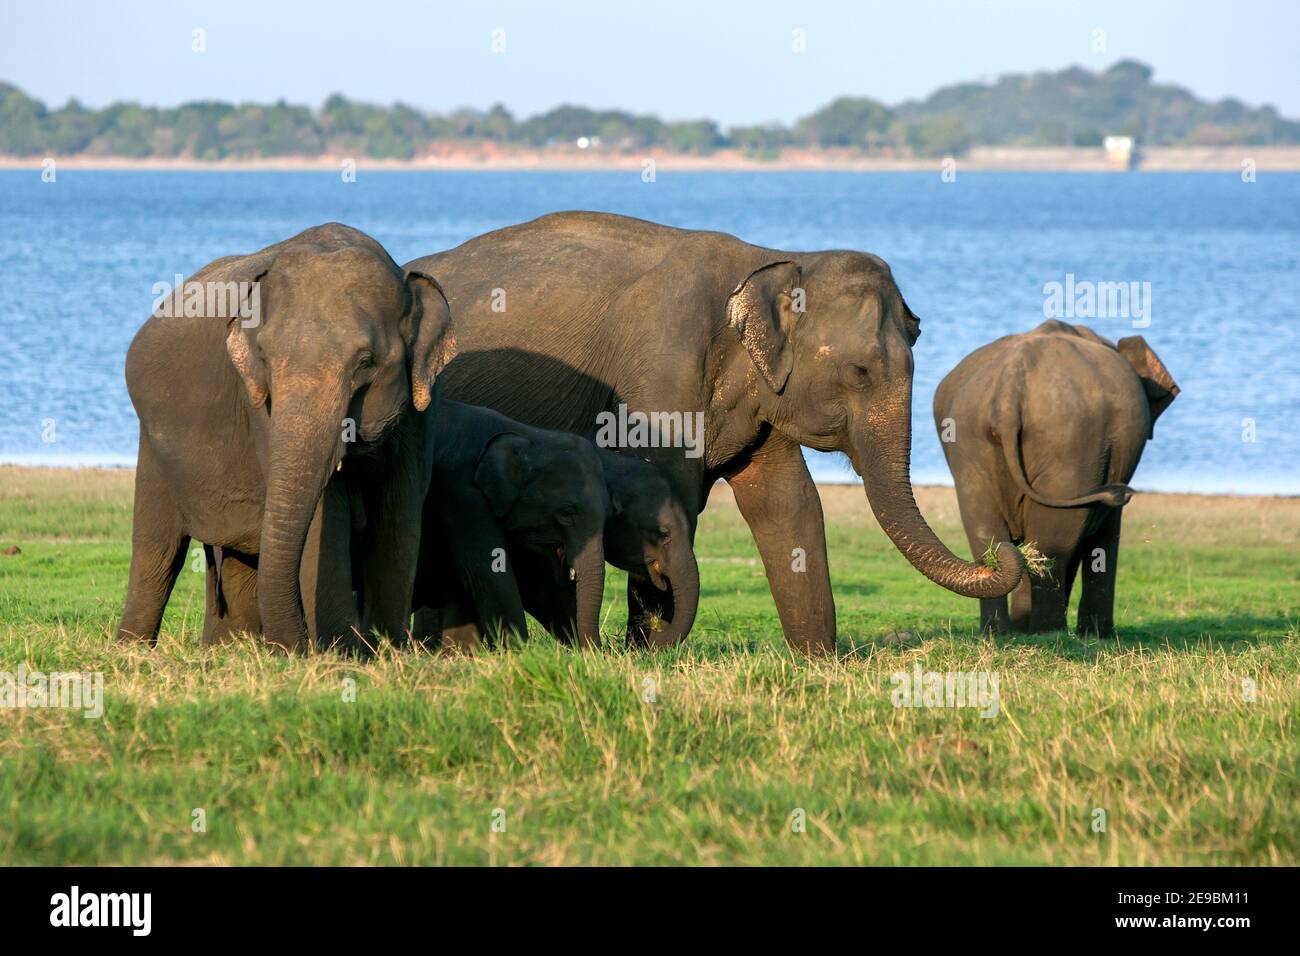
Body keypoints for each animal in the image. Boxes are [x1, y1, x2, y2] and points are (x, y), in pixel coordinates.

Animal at [116, 223, 460, 655]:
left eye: (365, 362)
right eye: (265, 357)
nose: (292, 647)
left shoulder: (421, 405)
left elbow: (400, 509)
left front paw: (390, 649)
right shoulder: (260, 404)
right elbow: (325, 516)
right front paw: (344, 652)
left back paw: (229, 648)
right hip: (152, 444)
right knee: (158, 552)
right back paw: (133, 649)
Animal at [413, 395, 611, 650]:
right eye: (567, 512)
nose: (595, 652)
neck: (527, 435)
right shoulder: (464, 494)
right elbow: (489, 574)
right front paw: (521, 653)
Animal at [930, 319, 1185, 634]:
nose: (1125, 492)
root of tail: (1007, 393)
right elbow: (1103, 536)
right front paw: (1099, 636)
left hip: (968, 437)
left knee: (985, 533)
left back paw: (1000, 632)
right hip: (1070, 442)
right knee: (1055, 544)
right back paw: (1049, 632)